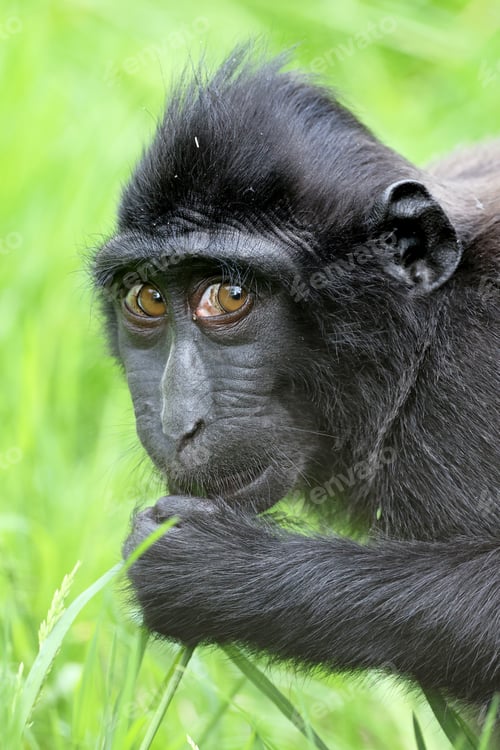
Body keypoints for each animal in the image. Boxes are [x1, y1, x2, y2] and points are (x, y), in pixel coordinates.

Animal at [93, 49, 500, 704]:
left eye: (229, 295)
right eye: (147, 299)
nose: (179, 422)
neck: (424, 329)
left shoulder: (471, 382)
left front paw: (211, 567)